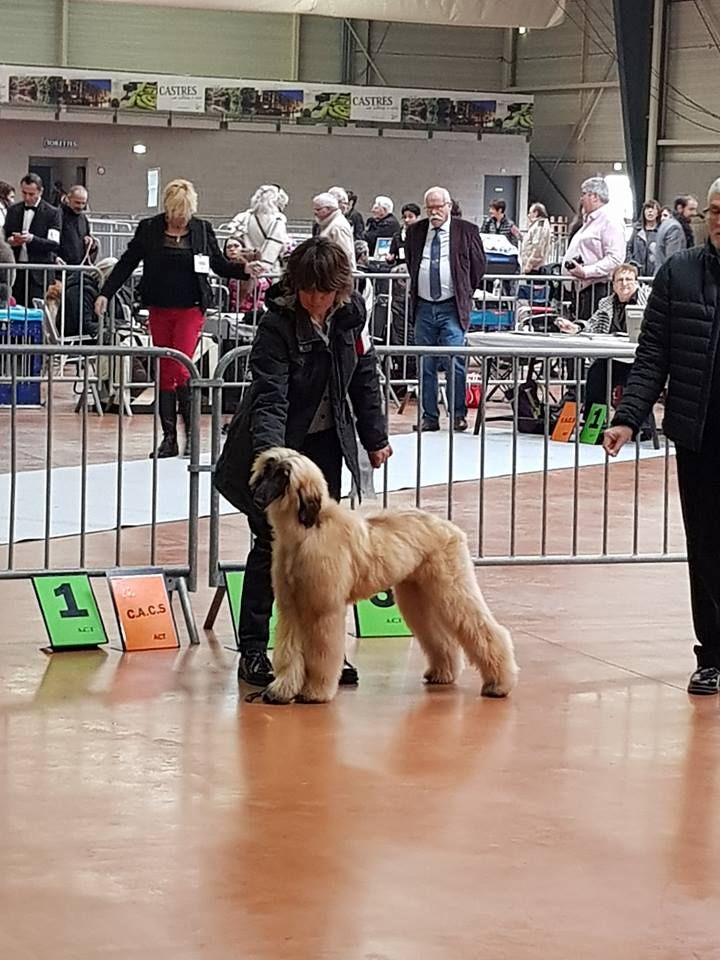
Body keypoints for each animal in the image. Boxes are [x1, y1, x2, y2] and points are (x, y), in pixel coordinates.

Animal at [249, 444, 516, 704]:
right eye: (267, 470)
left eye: (284, 476)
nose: (257, 496)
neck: (306, 532)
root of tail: (449, 526)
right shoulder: (291, 606)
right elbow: (289, 651)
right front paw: (282, 690)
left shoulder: (322, 608)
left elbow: (321, 653)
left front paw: (315, 691)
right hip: (419, 594)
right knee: (440, 636)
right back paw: (443, 673)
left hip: (452, 587)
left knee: (486, 630)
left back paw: (498, 684)